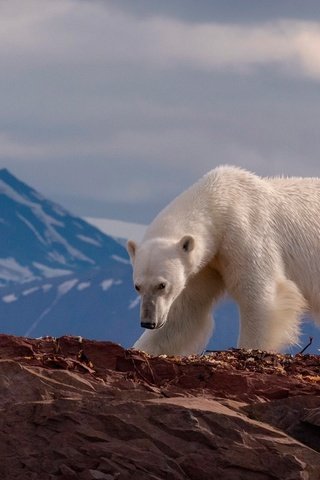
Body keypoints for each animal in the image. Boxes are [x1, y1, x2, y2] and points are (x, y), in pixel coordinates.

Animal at [127, 166, 320, 356]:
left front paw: (249, 347)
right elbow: (185, 310)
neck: (221, 203)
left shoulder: (247, 234)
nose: (148, 322)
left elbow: (260, 297)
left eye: (162, 285)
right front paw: (141, 348)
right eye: (137, 286)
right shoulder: (206, 265)